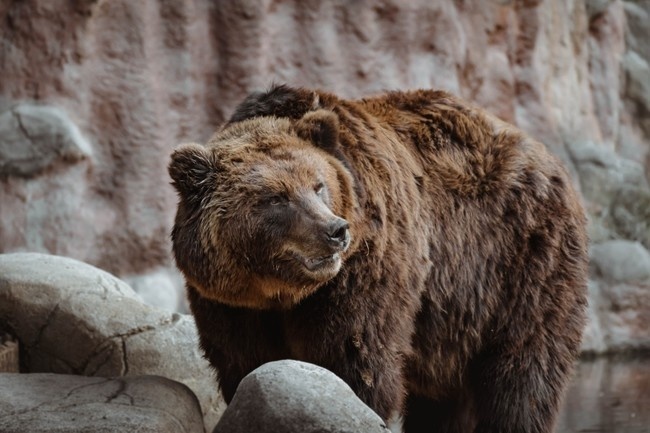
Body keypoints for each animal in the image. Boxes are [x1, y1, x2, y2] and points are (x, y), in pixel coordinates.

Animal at [167, 84, 588, 432]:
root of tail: (551, 160)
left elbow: (355, 358)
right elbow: (244, 363)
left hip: (521, 264)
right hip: (456, 322)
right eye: (276, 198)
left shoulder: (365, 271)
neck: (277, 292)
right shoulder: (230, 304)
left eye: (318, 185)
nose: (335, 230)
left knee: (523, 371)